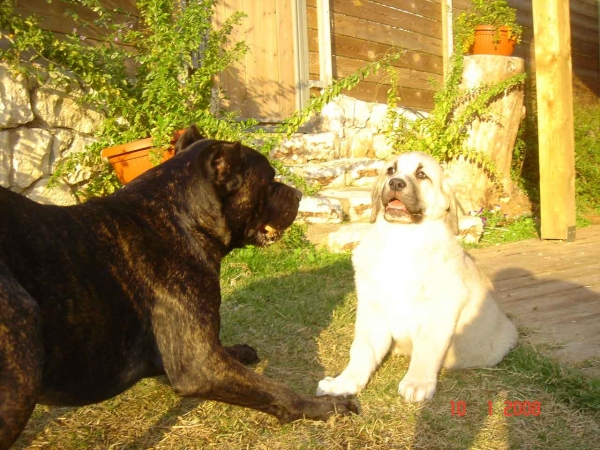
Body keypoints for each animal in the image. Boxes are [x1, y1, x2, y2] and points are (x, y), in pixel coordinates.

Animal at [0, 125, 356, 446]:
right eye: (268, 183)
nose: (297, 194)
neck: (179, 218)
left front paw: (239, 351)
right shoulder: (198, 366)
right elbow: (276, 390)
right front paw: (325, 406)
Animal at [316, 153, 516, 402]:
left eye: (421, 175)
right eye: (391, 170)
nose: (395, 183)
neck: (402, 239)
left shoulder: (440, 310)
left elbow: (427, 348)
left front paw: (417, 383)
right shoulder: (373, 308)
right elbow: (362, 349)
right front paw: (344, 383)